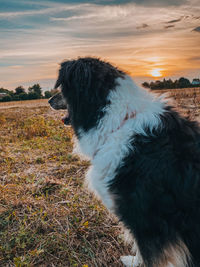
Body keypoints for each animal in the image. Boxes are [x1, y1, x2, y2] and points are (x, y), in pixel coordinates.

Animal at [48, 57, 200, 266]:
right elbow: (140, 252)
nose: (48, 100)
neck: (120, 122)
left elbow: (147, 255)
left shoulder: (146, 221)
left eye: (62, 89)